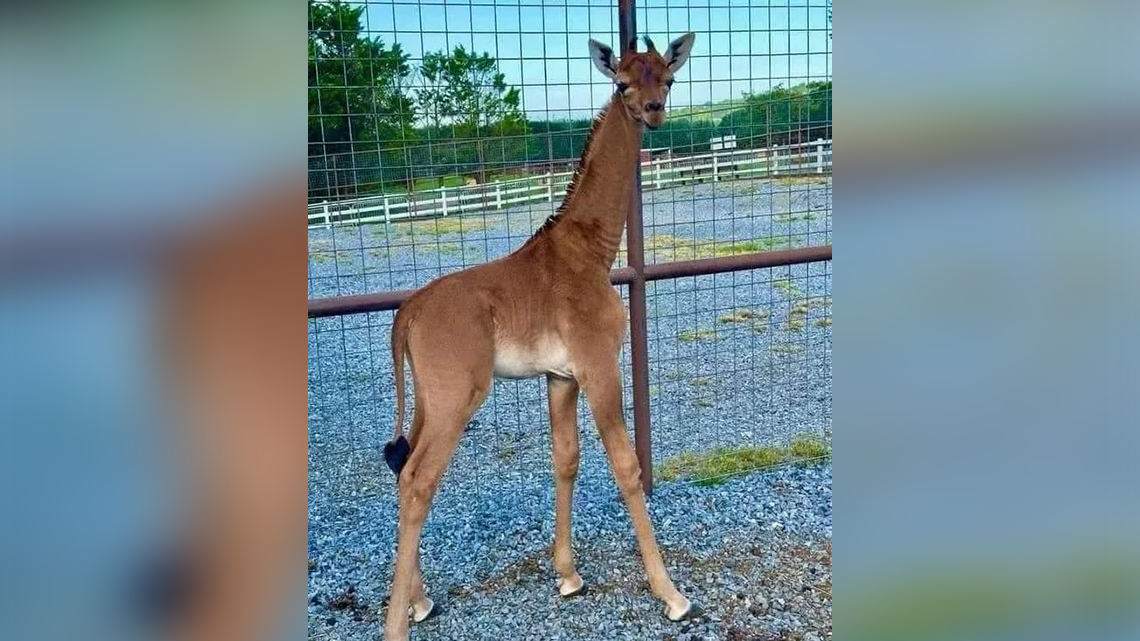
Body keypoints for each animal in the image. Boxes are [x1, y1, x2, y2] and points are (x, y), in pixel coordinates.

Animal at [381, 32, 697, 641]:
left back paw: (419, 600)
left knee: (401, 467)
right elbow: (627, 468)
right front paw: (671, 594)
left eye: (668, 78)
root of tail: (407, 312)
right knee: (418, 481)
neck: (591, 252)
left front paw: (569, 575)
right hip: (458, 396)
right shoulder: (599, 367)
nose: (653, 111)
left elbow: (565, 459)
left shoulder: (559, 376)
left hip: (428, 398)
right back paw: (397, 623)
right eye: (622, 82)